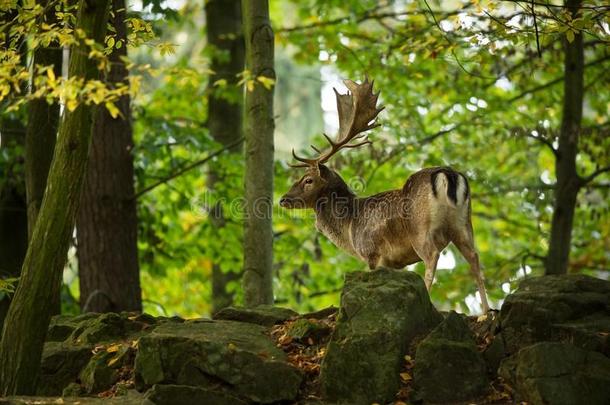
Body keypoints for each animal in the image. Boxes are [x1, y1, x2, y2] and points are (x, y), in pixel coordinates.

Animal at [280, 77, 490, 310]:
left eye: (308, 180)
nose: (283, 199)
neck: (350, 228)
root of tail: (448, 174)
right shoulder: (395, 263)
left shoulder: (371, 252)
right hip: (463, 224)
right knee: (474, 257)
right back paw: (486, 311)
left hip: (420, 229)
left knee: (432, 256)